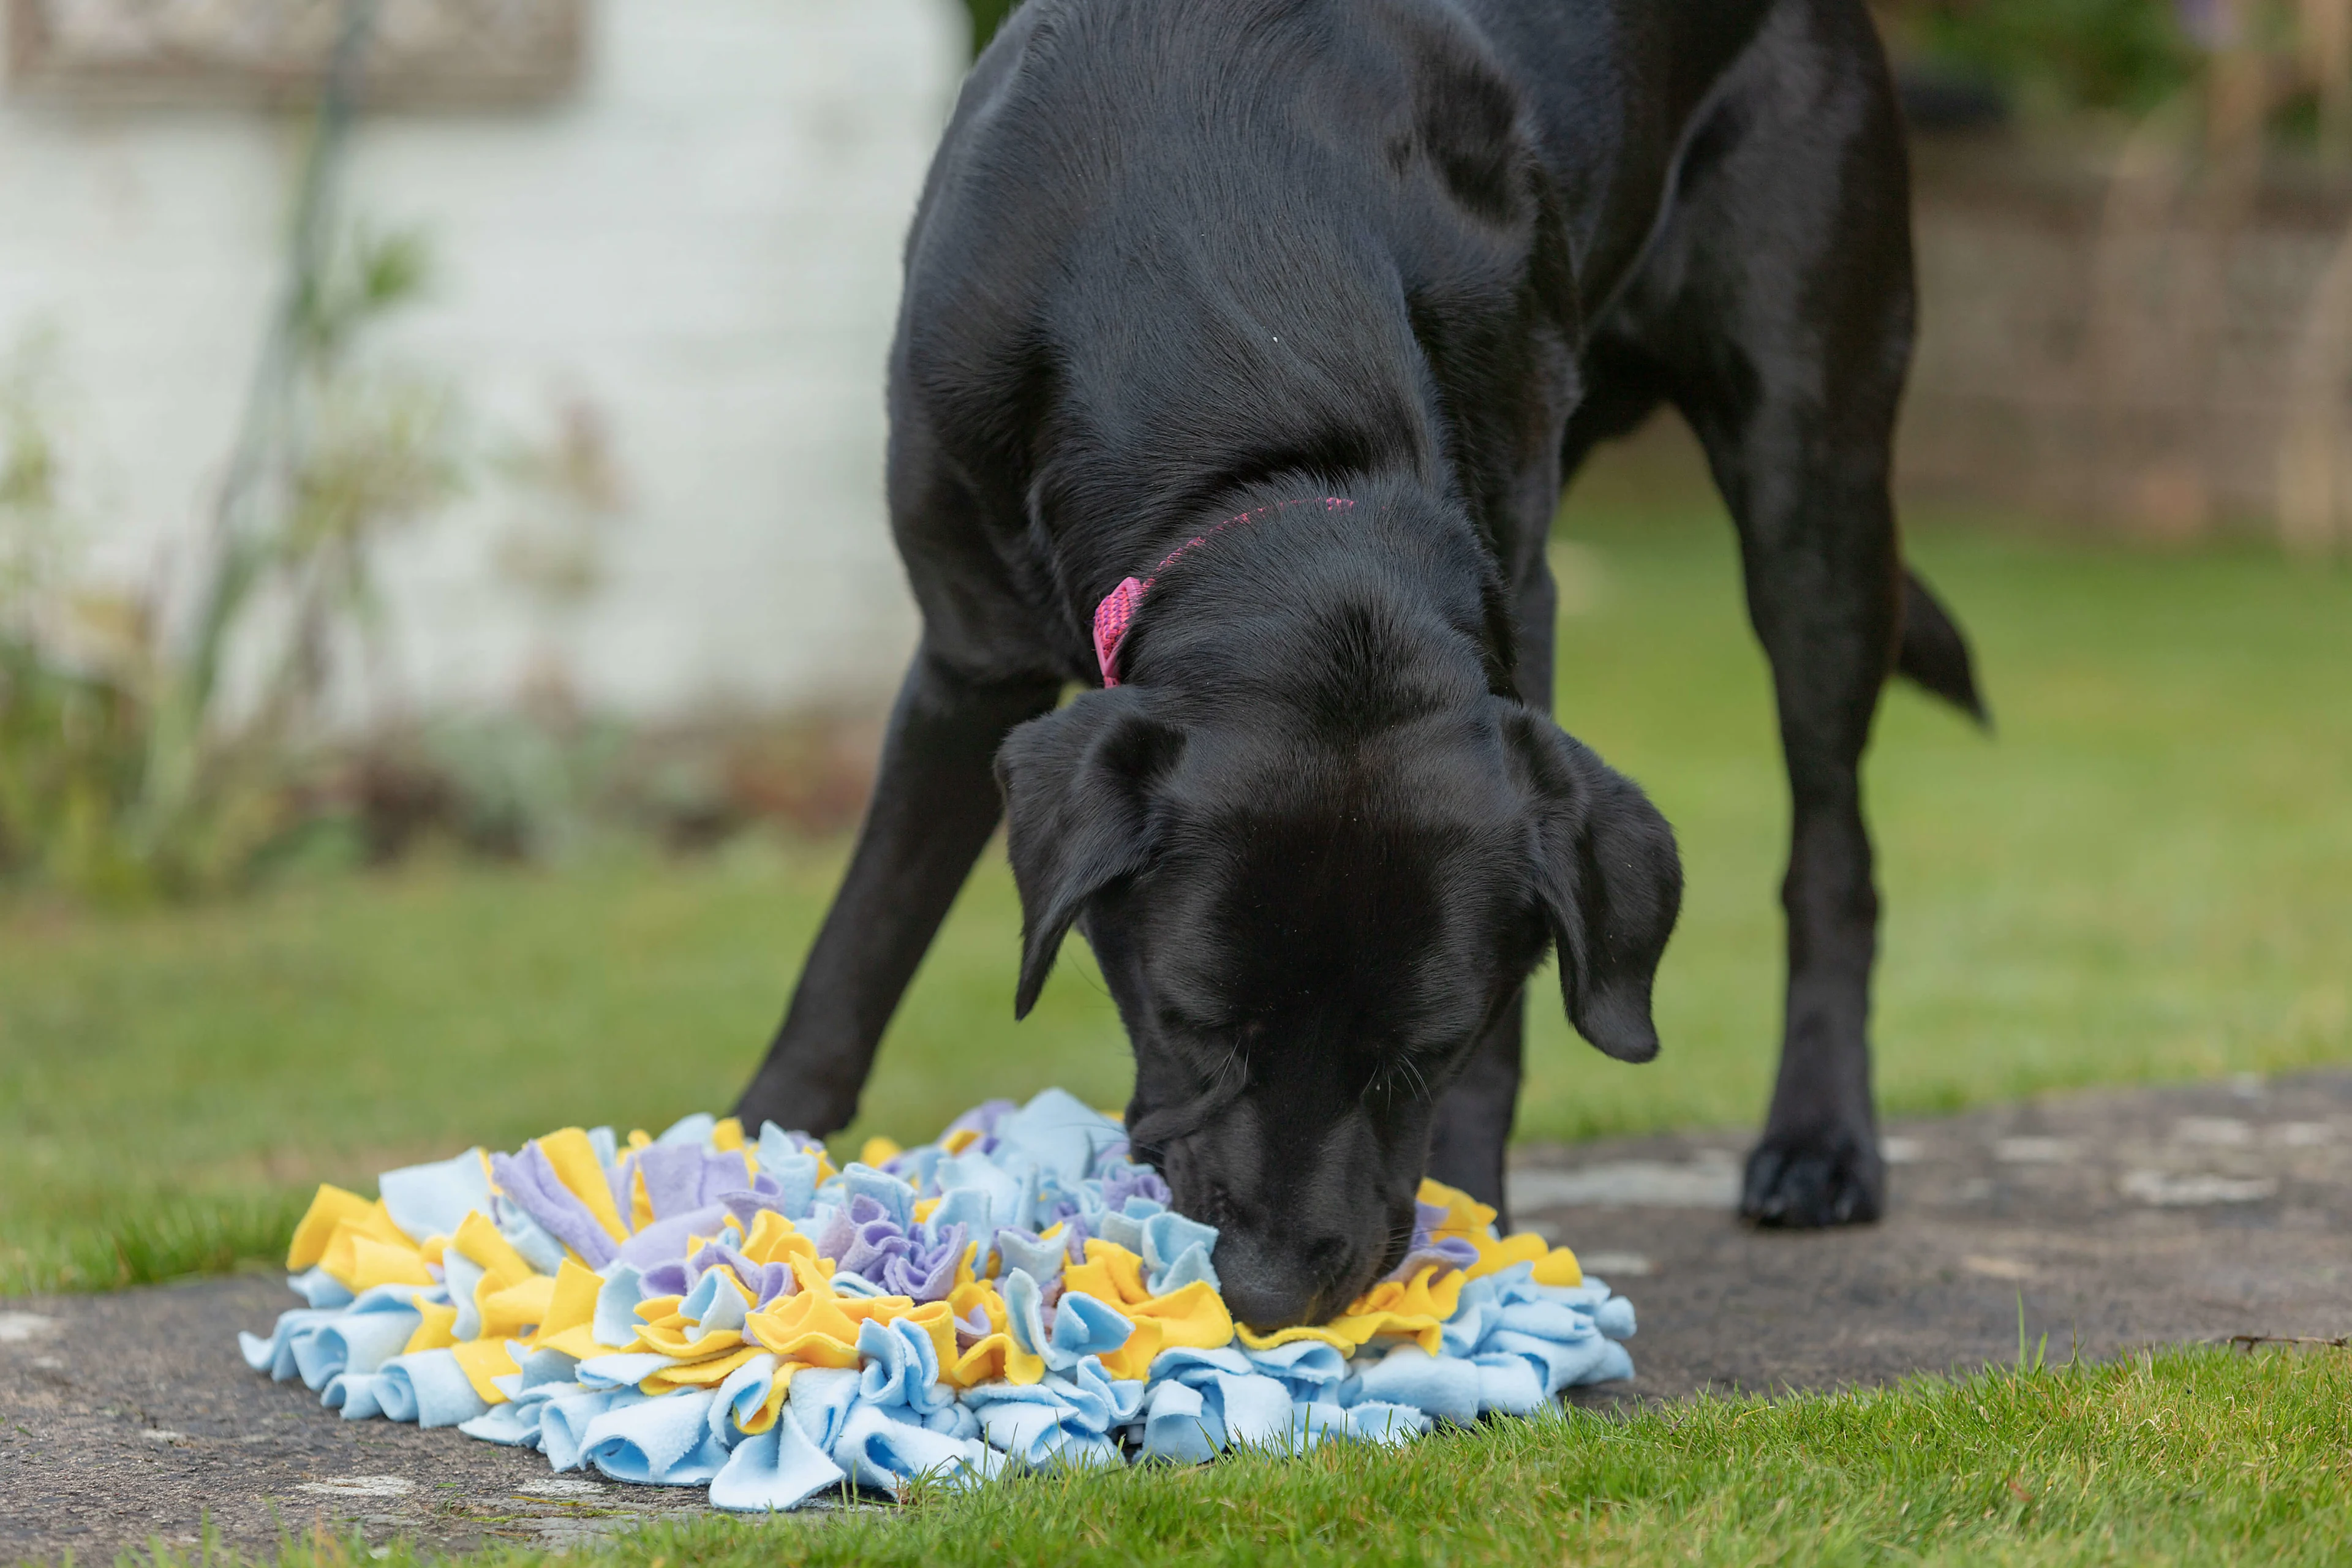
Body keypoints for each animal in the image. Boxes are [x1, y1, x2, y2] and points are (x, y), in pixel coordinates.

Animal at [738, 0, 1985, 1335]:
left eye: (1421, 1051)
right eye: (1192, 1022)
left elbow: (1515, 1025)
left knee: (1833, 848)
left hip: (1814, 472)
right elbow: (857, 948)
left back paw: (1821, 1140)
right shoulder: (969, 655)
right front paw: (755, 1154)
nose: (1272, 1290)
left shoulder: (1523, 599)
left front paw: (1479, 1218)